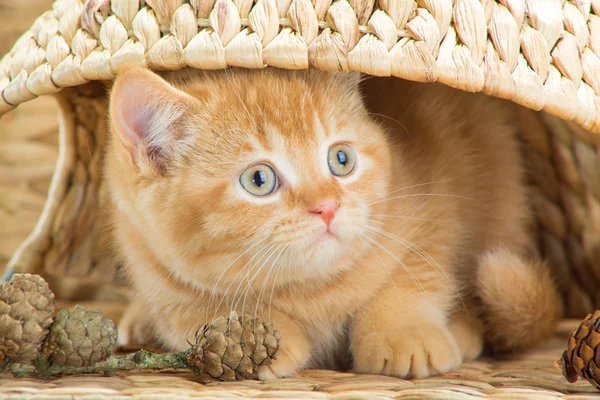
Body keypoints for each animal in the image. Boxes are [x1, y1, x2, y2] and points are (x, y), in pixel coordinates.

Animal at [104, 67, 564, 380]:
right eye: (259, 180)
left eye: (340, 159)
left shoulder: (432, 199)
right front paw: (262, 337)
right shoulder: (154, 269)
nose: (327, 206)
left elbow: (413, 273)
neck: (311, 288)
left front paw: (404, 331)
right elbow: (190, 308)